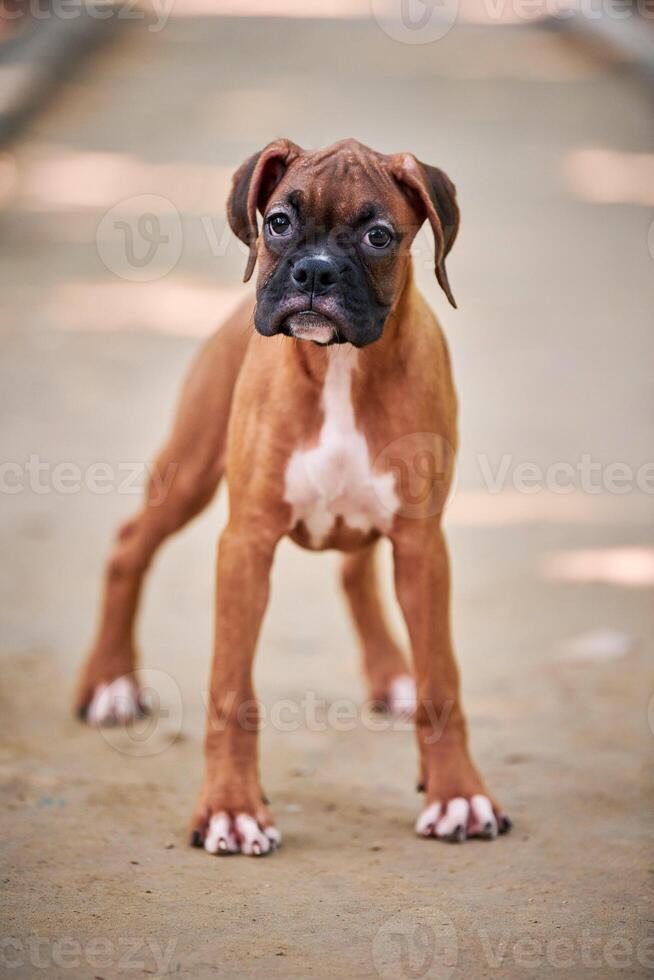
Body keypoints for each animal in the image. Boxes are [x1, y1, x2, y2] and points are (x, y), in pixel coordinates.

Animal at [77, 140, 512, 856]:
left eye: (378, 235)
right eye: (279, 221)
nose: (314, 272)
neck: (339, 368)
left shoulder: (423, 545)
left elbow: (440, 680)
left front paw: (457, 794)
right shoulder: (245, 545)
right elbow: (232, 690)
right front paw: (231, 809)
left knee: (356, 575)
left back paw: (393, 676)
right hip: (188, 470)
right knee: (128, 544)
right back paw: (112, 685)